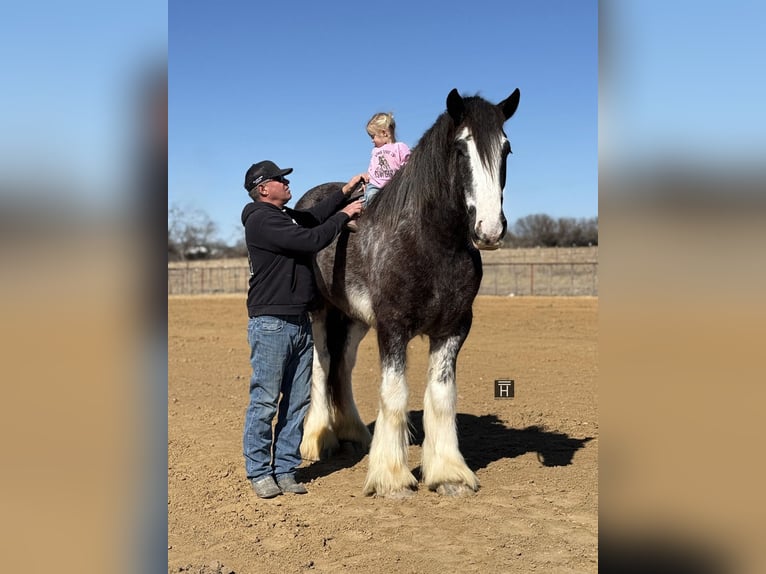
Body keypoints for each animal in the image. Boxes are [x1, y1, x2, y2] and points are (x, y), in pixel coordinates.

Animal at [296, 88, 521, 498]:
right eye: (461, 148)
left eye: (506, 149)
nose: (490, 230)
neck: (430, 242)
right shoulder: (393, 328)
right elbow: (395, 394)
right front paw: (392, 478)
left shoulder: (453, 329)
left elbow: (442, 396)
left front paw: (448, 474)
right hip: (318, 310)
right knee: (322, 365)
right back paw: (318, 440)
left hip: (354, 319)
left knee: (343, 366)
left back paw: (355, 434)